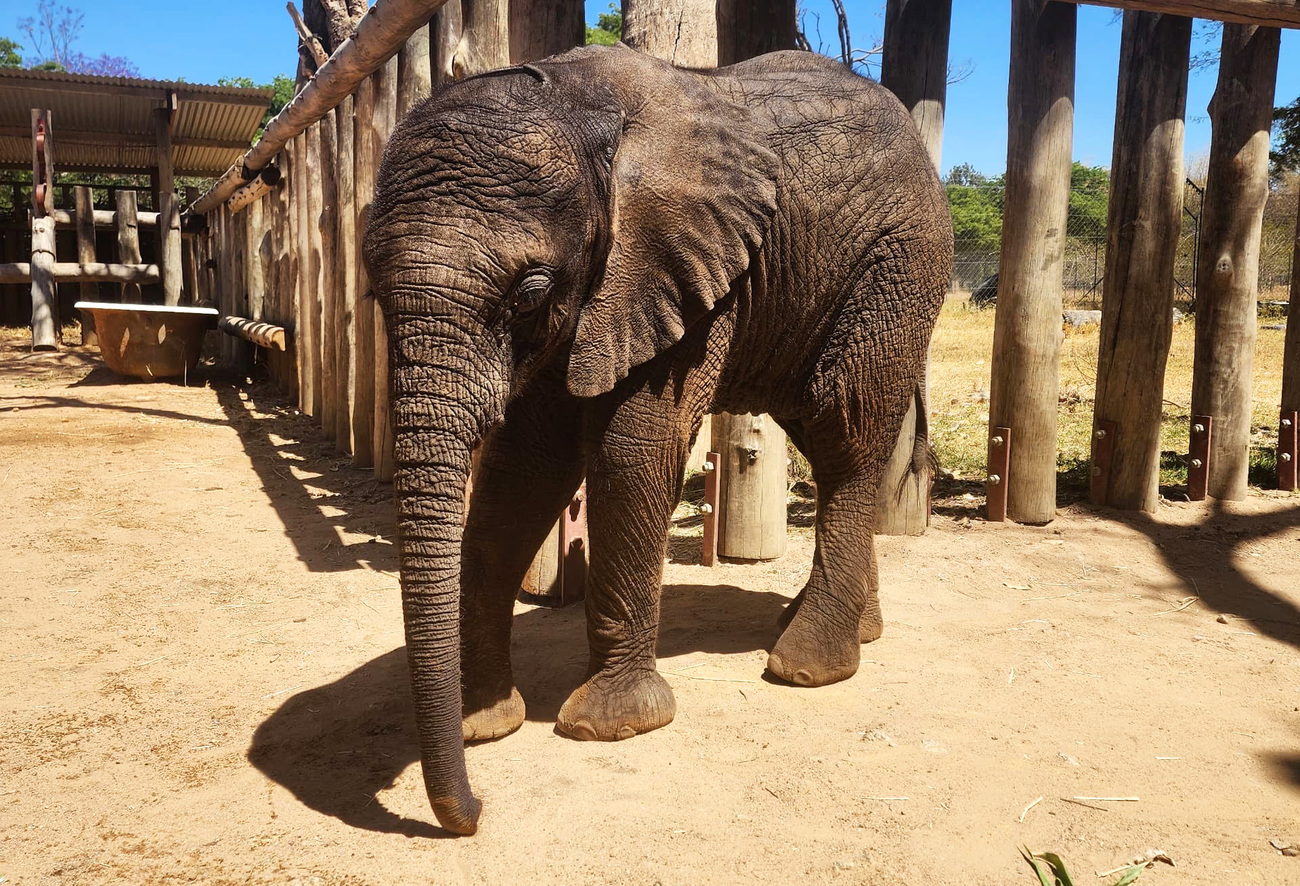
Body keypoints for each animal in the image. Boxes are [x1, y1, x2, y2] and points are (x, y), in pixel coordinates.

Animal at [366, 41, 956, 831]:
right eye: (372, 288)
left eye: (528, 292)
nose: (478, 812)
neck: (573, 103)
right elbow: (525, 466)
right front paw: (485, 722)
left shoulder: (668, 271)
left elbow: (630, 449)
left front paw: (609, 724)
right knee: (823, 436)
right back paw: (854, 632)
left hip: (897, 267)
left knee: (845, 433)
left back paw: (808, 664)